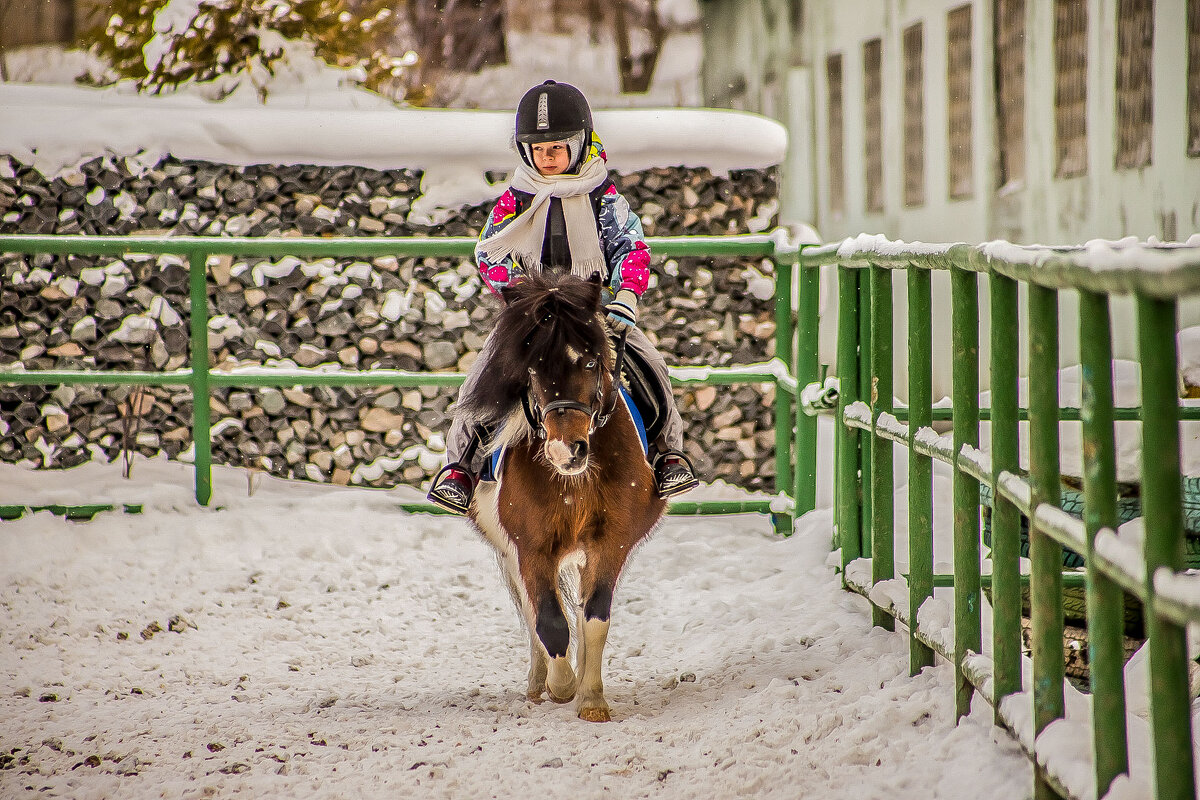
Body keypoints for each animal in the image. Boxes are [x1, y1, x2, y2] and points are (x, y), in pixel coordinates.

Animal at [456, 272, 667, 724]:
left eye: (589, 362)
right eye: (532, 367)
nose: (563, 451)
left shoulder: (611, 544)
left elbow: (594, 618)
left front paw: (591, 699)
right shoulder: (530, 548)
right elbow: (550, 623)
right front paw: (561, 685)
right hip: (511, 552)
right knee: (533, 612)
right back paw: (540, 685)